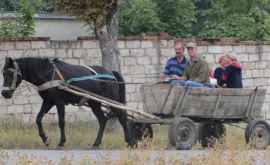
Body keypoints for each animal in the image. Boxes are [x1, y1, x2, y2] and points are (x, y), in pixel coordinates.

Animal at [0, 57, 134, 148]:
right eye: (3, 73)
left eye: (11, 73)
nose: (5, 93)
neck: (48, 73)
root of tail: (111, 73)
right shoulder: (48, 101)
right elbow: (38, 119)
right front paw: (45, 139)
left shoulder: (59, 102)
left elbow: (61, 122)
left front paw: (61, 142)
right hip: (94, 102)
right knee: (102, 120)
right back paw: (96, 143)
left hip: (111, 100)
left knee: (122, 117)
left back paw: (130, 142)